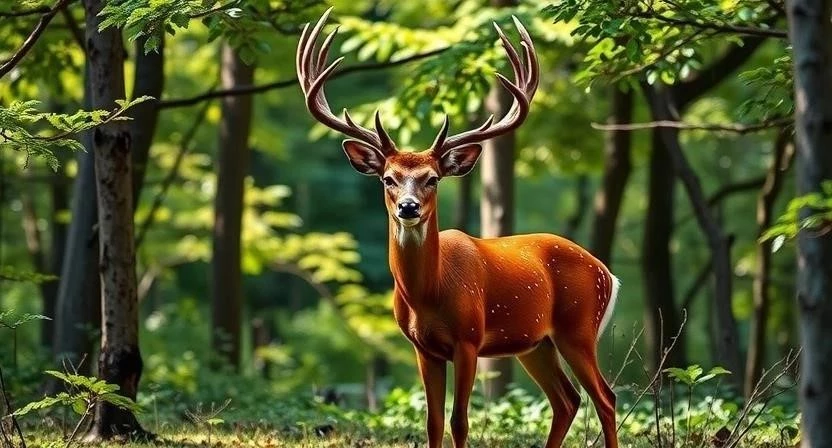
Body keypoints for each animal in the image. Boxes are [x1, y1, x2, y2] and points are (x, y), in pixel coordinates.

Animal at [297, 8, 620, 448]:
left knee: (605, 397)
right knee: (567, 400)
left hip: (579, 327)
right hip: (536, 342)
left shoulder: (469, 339)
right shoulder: (423, 348)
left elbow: (459, 420)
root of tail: (606, 272)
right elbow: (433, 421)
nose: (409, 207)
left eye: (432, 178)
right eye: (388, 178)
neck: (428, 294)